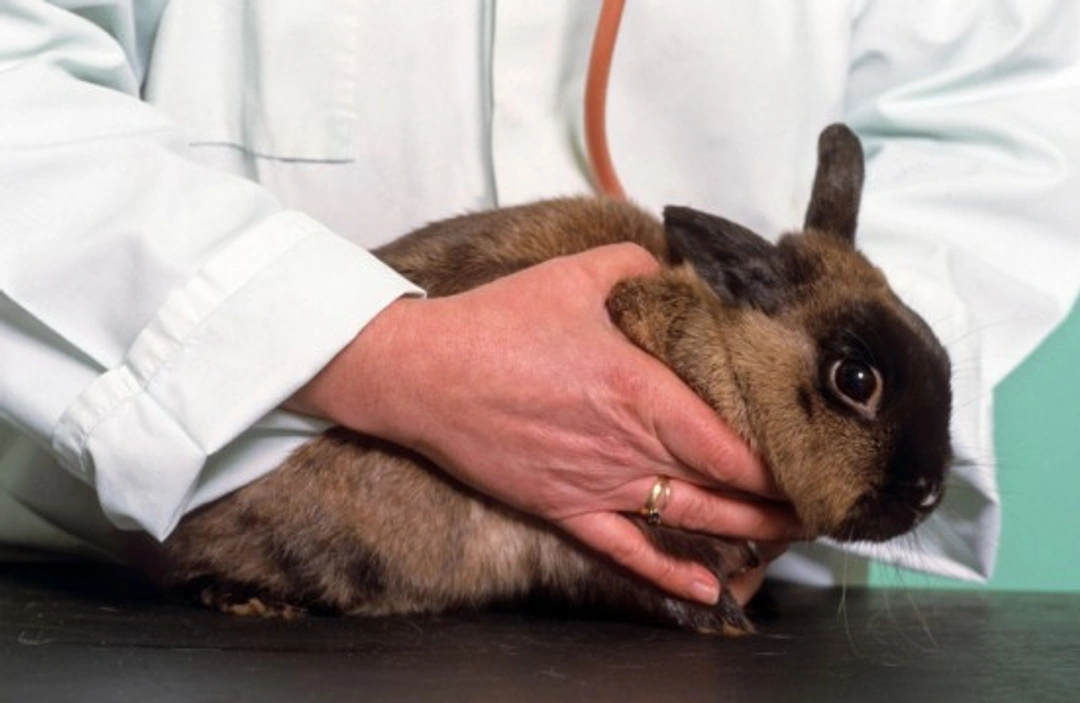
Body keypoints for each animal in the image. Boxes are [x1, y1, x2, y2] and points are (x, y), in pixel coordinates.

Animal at [139, 124, 952, 635]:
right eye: (855, 378)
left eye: (943, 357)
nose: (929, 491)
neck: (718, 353)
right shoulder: (576, 534)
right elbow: (630, 578)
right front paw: (720, 614)